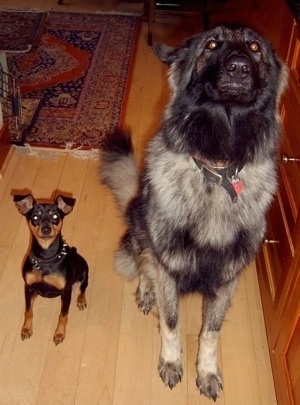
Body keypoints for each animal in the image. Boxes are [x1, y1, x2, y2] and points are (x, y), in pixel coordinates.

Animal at [14, 193, 88, 344]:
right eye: (35, 217)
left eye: (55, 216)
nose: (46, 229)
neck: (45, 258)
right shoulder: (28, 287)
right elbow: (28, 311)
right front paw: (26, 329)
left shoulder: (66, 292)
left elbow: (63, 315)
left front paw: (59, 334)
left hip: (84, 276)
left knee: (82, 290)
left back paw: (81, 301)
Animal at [102, 26, 288, 400]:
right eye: (212, 45)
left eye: (254, 47)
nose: (238, 68)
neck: (217, 170)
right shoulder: (168, 267)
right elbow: (171, 322)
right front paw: (173, 362)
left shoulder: (227, 278)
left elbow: (211, 332)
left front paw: (206, 372)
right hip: (139, 234)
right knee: (142, 264)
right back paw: (145, 290)